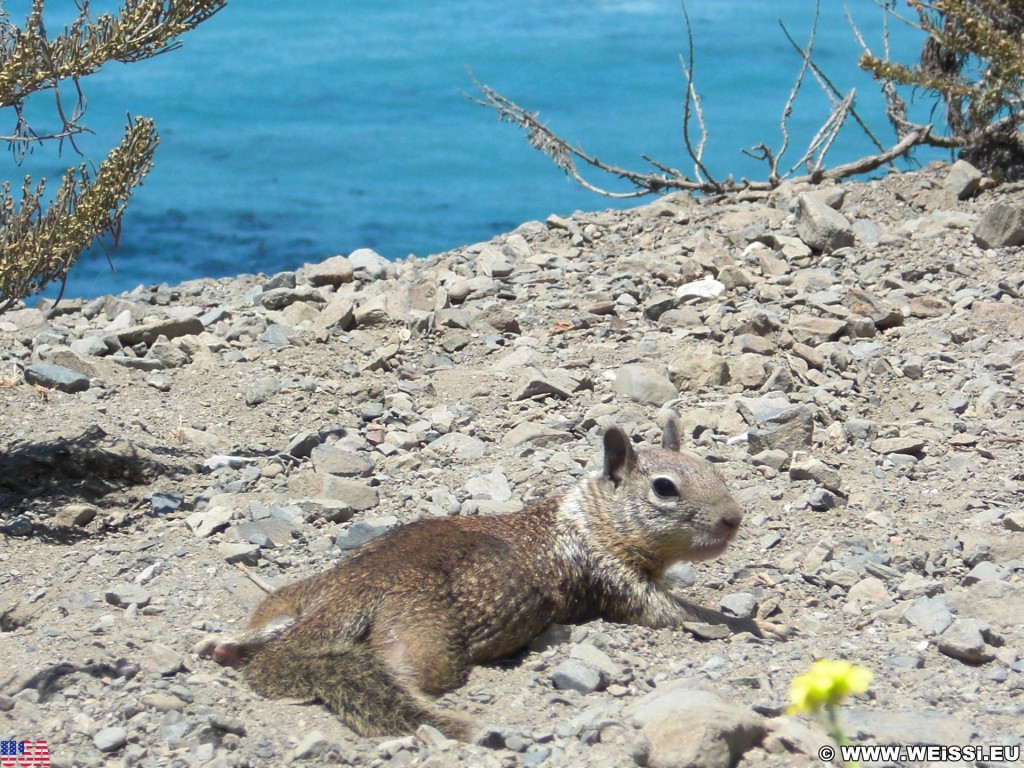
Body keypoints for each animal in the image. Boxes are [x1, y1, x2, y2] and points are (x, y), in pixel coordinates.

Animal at [197, 421, 782, 741]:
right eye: (664, 488)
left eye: (713, 469)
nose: (733, 519)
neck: (589, 518)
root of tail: (350, 590)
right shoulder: (615, 580)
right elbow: (678, 613)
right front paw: (760, 628)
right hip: (425, 634)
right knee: (406, 672)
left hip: (292, 598)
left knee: (262, 625)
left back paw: (224, 645)